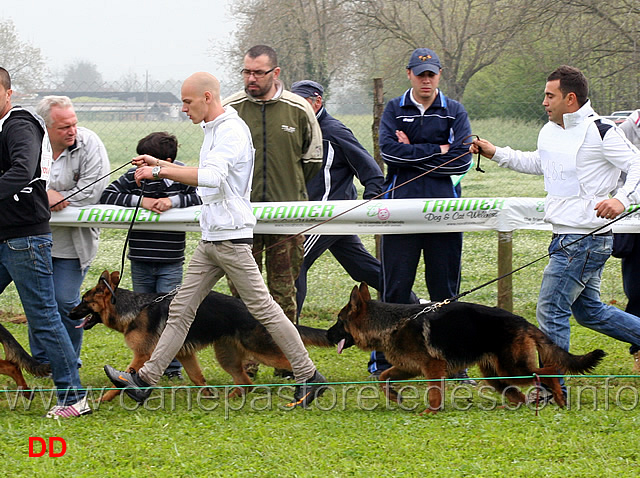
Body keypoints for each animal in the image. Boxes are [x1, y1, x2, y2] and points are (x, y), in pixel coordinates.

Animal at [70, 270, 330, 402]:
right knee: (246, 381)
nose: (68, 312)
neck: (134, 308)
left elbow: (125, 378)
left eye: (84, 300)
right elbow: (197, 378)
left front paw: (107, 397)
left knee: (290, 363)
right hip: (227, 357)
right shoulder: (184, 354)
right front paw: (207, 395)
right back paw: (231, 397)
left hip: (261, 351)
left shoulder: (143, 355)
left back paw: (311, 385)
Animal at [328, 282, 608, 412]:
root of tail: (523, 321)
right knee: (518, 394)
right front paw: (395, 397)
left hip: (512, 369)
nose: (328, 335)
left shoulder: (432, 368)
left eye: (339, 321)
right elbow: (383, 378)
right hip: (496, 375)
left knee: (548, 371)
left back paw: (559, 398)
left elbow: (434, 393)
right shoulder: (409, 367)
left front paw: (431, 412)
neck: (391, 323)